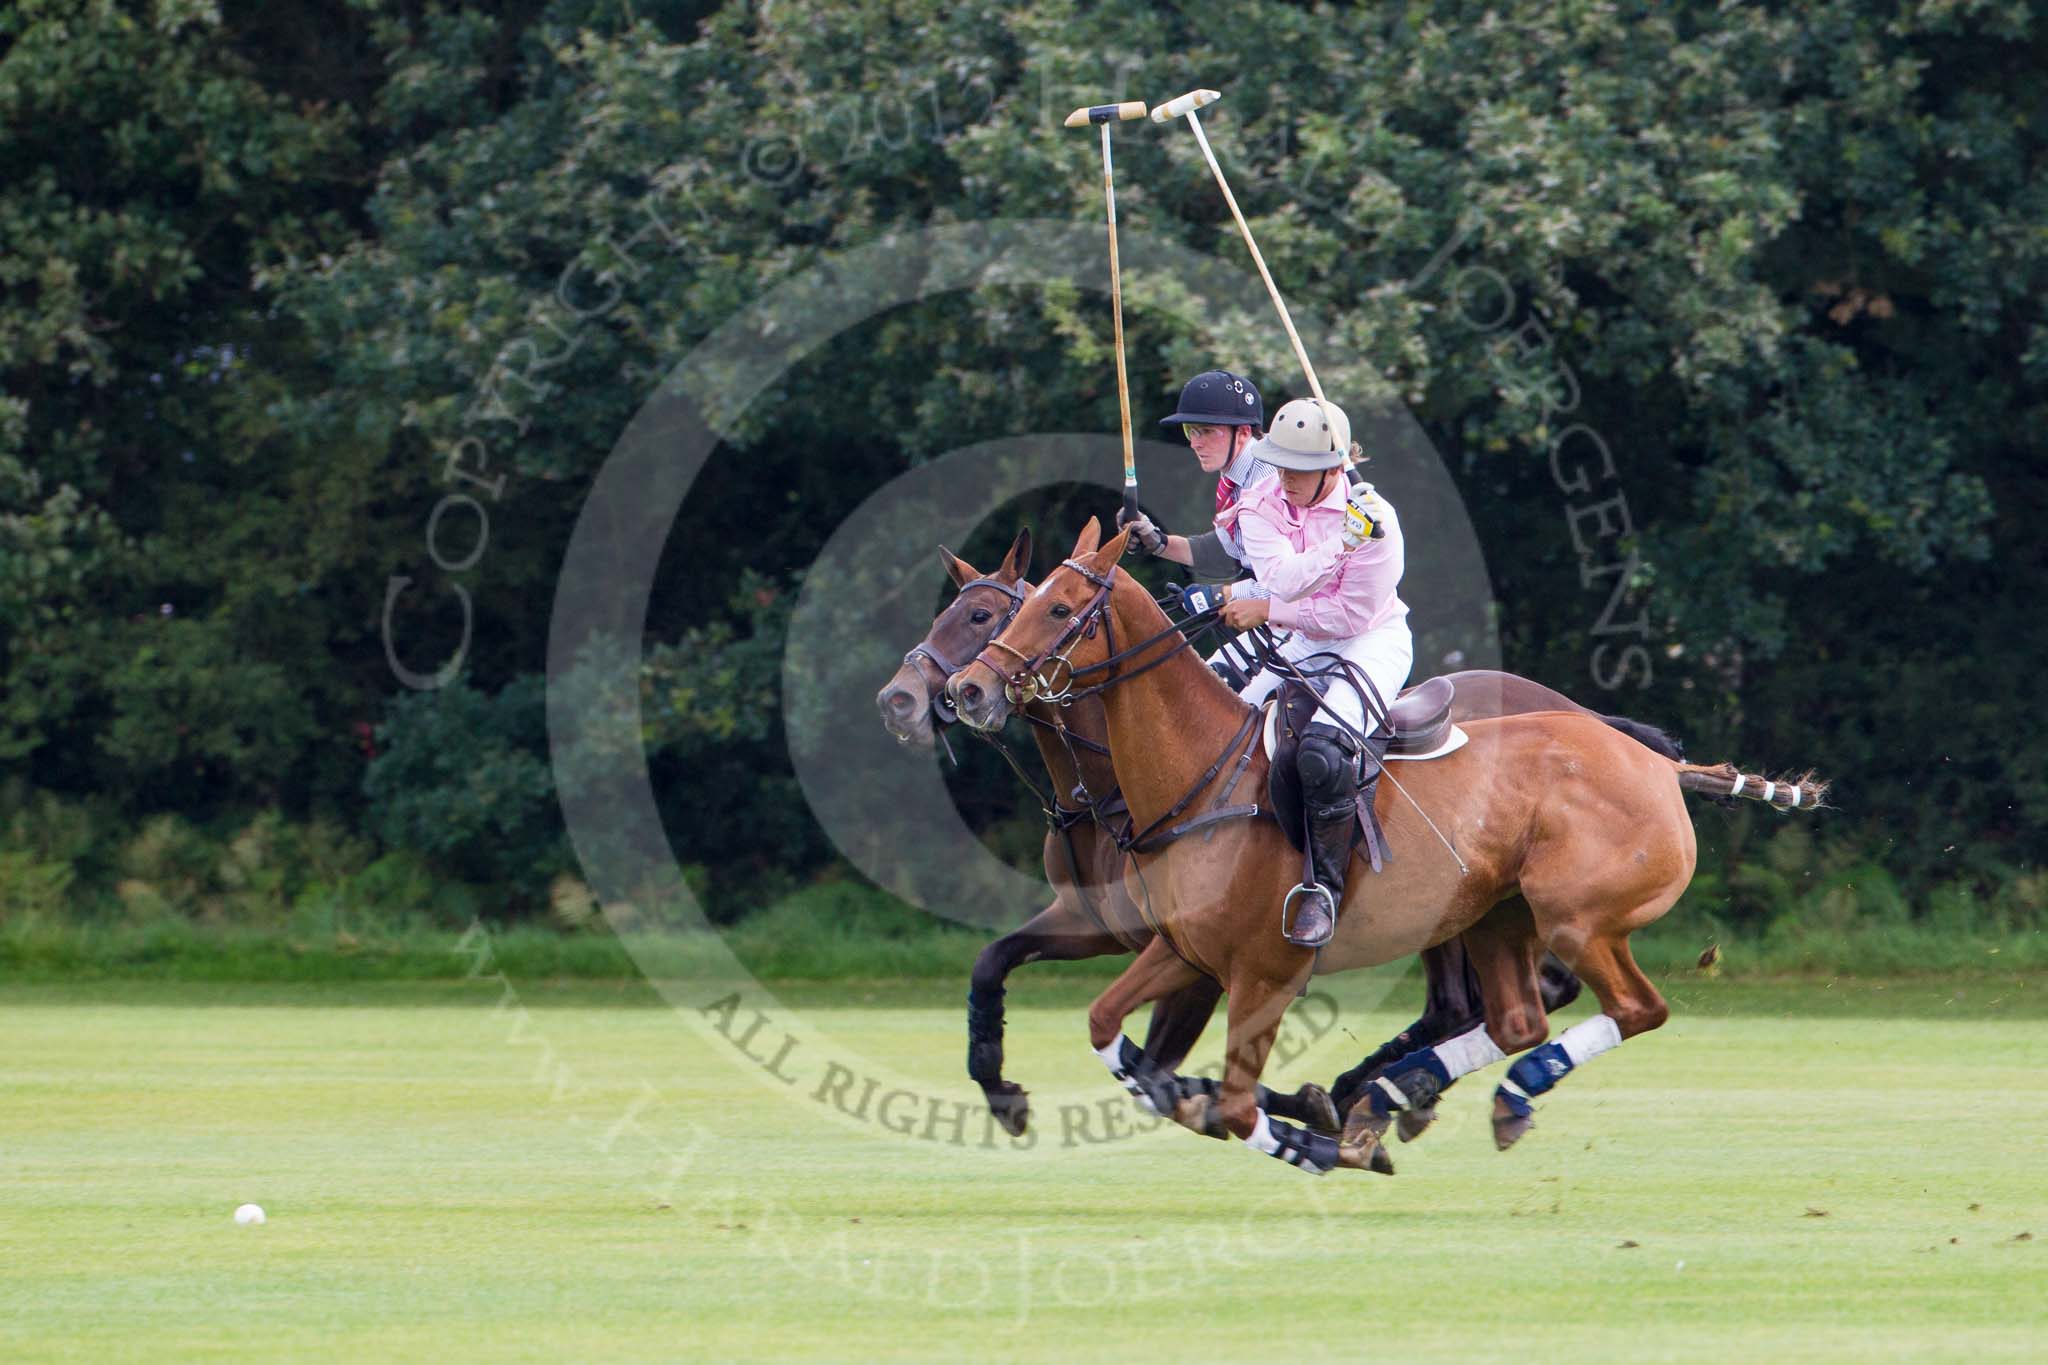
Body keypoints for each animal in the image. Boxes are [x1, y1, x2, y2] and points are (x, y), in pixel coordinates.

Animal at [942, 523, 1826, 1178]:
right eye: (1007, 608)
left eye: (1055, 609)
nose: (963, 691)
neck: (1195, 776)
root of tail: (1657, 764)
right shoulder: (1182, 946)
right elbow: (1106, 1028)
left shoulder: (1264, 968)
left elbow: (1224, 1097)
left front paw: (1310, 1138)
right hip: (1494, 917)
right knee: (1515, 1016)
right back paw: (1400, 1095)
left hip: (1577, 917)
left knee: (1630, 1008)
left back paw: (1452, 1096)